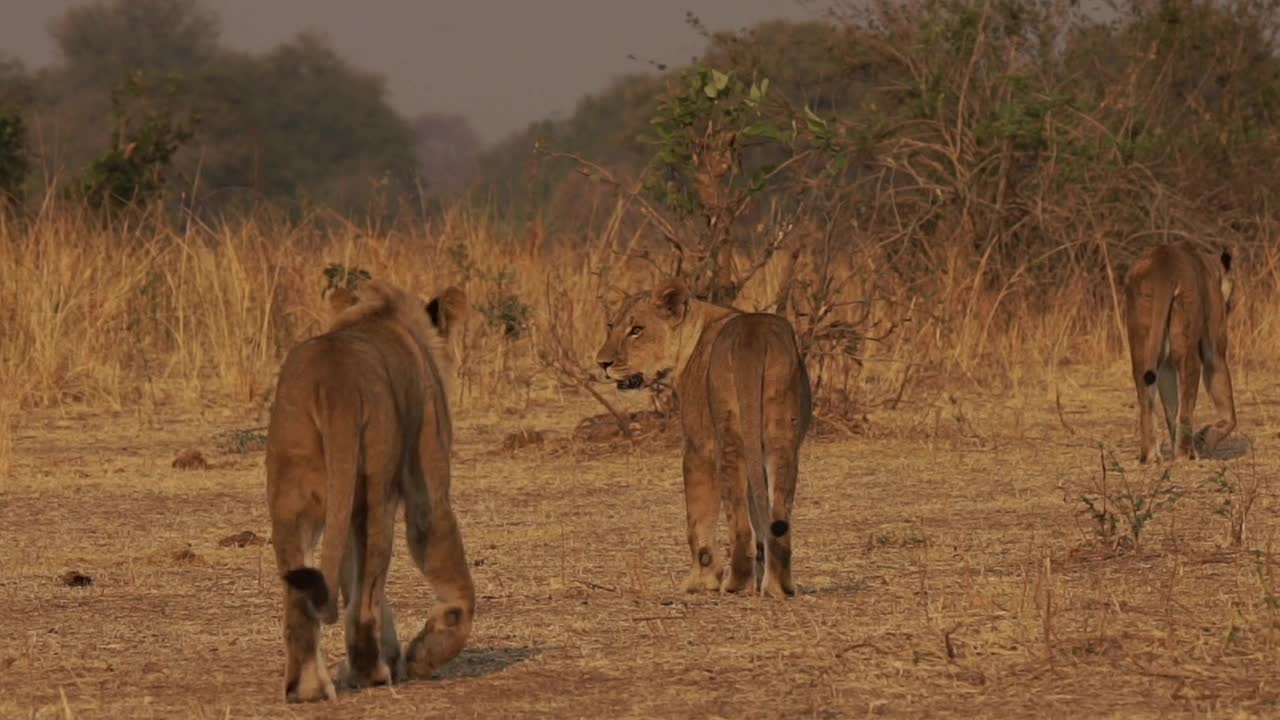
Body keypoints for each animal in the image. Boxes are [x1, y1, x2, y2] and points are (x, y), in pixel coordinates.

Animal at [264, 275, 476, 702]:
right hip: (375, 494)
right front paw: (423, 653)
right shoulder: (427, 483)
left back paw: (308, 688)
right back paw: (371, 672)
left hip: (293, 494)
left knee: (302, 596)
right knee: (365, 601)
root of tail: (334, 383)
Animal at [596, 274, 814, 594]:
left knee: (739, 525)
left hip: (729, 438)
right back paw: (778, 587)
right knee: (778, 520)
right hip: (781, 437)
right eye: (612, 326)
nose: (602, 363)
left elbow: (696, 520)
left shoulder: (697, 447)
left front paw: (700, 580)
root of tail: (755, 335)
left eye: (637, 330)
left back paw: (735, 584)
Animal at [1126, 240, 1233, 461]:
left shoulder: (1165, 364)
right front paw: (1205, 439)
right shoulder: (1215, 349)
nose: (1230, 307)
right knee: (1186, 404)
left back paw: (1150, 455)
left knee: (1145, 394)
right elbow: (1229, 412)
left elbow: (1170, 408)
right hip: (1187, 338)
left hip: (1142, 344)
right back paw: (1187, 454)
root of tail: (1162, 265)